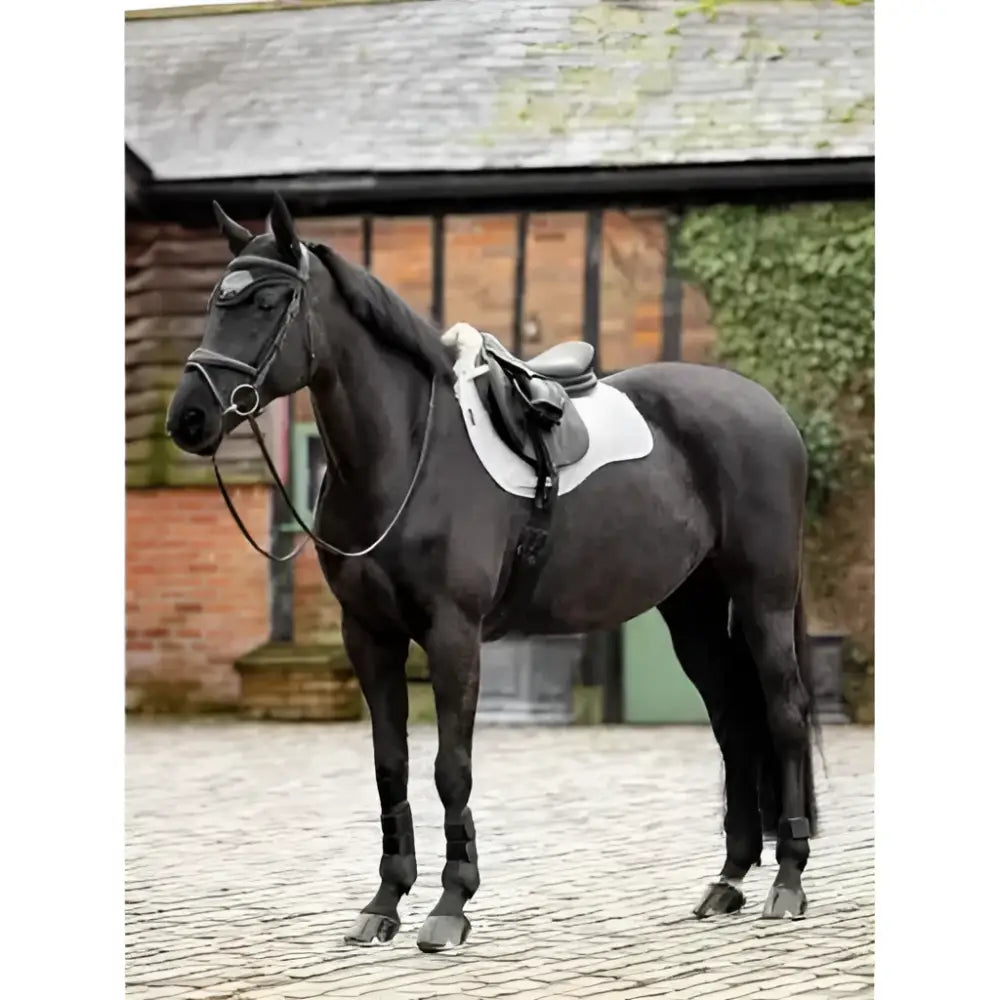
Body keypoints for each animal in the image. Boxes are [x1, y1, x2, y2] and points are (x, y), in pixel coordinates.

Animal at [165, 194, 819, 953]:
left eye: (268, 301)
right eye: (215, 300)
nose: (189, 418)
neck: (408, 456)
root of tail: (766, 407)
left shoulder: (453, 634)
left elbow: (452, 766)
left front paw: (451, 904)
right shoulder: (369, 636)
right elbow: (391, 764)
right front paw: (384, 902)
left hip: (764, 596)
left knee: (784, 712)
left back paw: (787, 882)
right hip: (693, 611)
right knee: (733, 723)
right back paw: (729, 880)